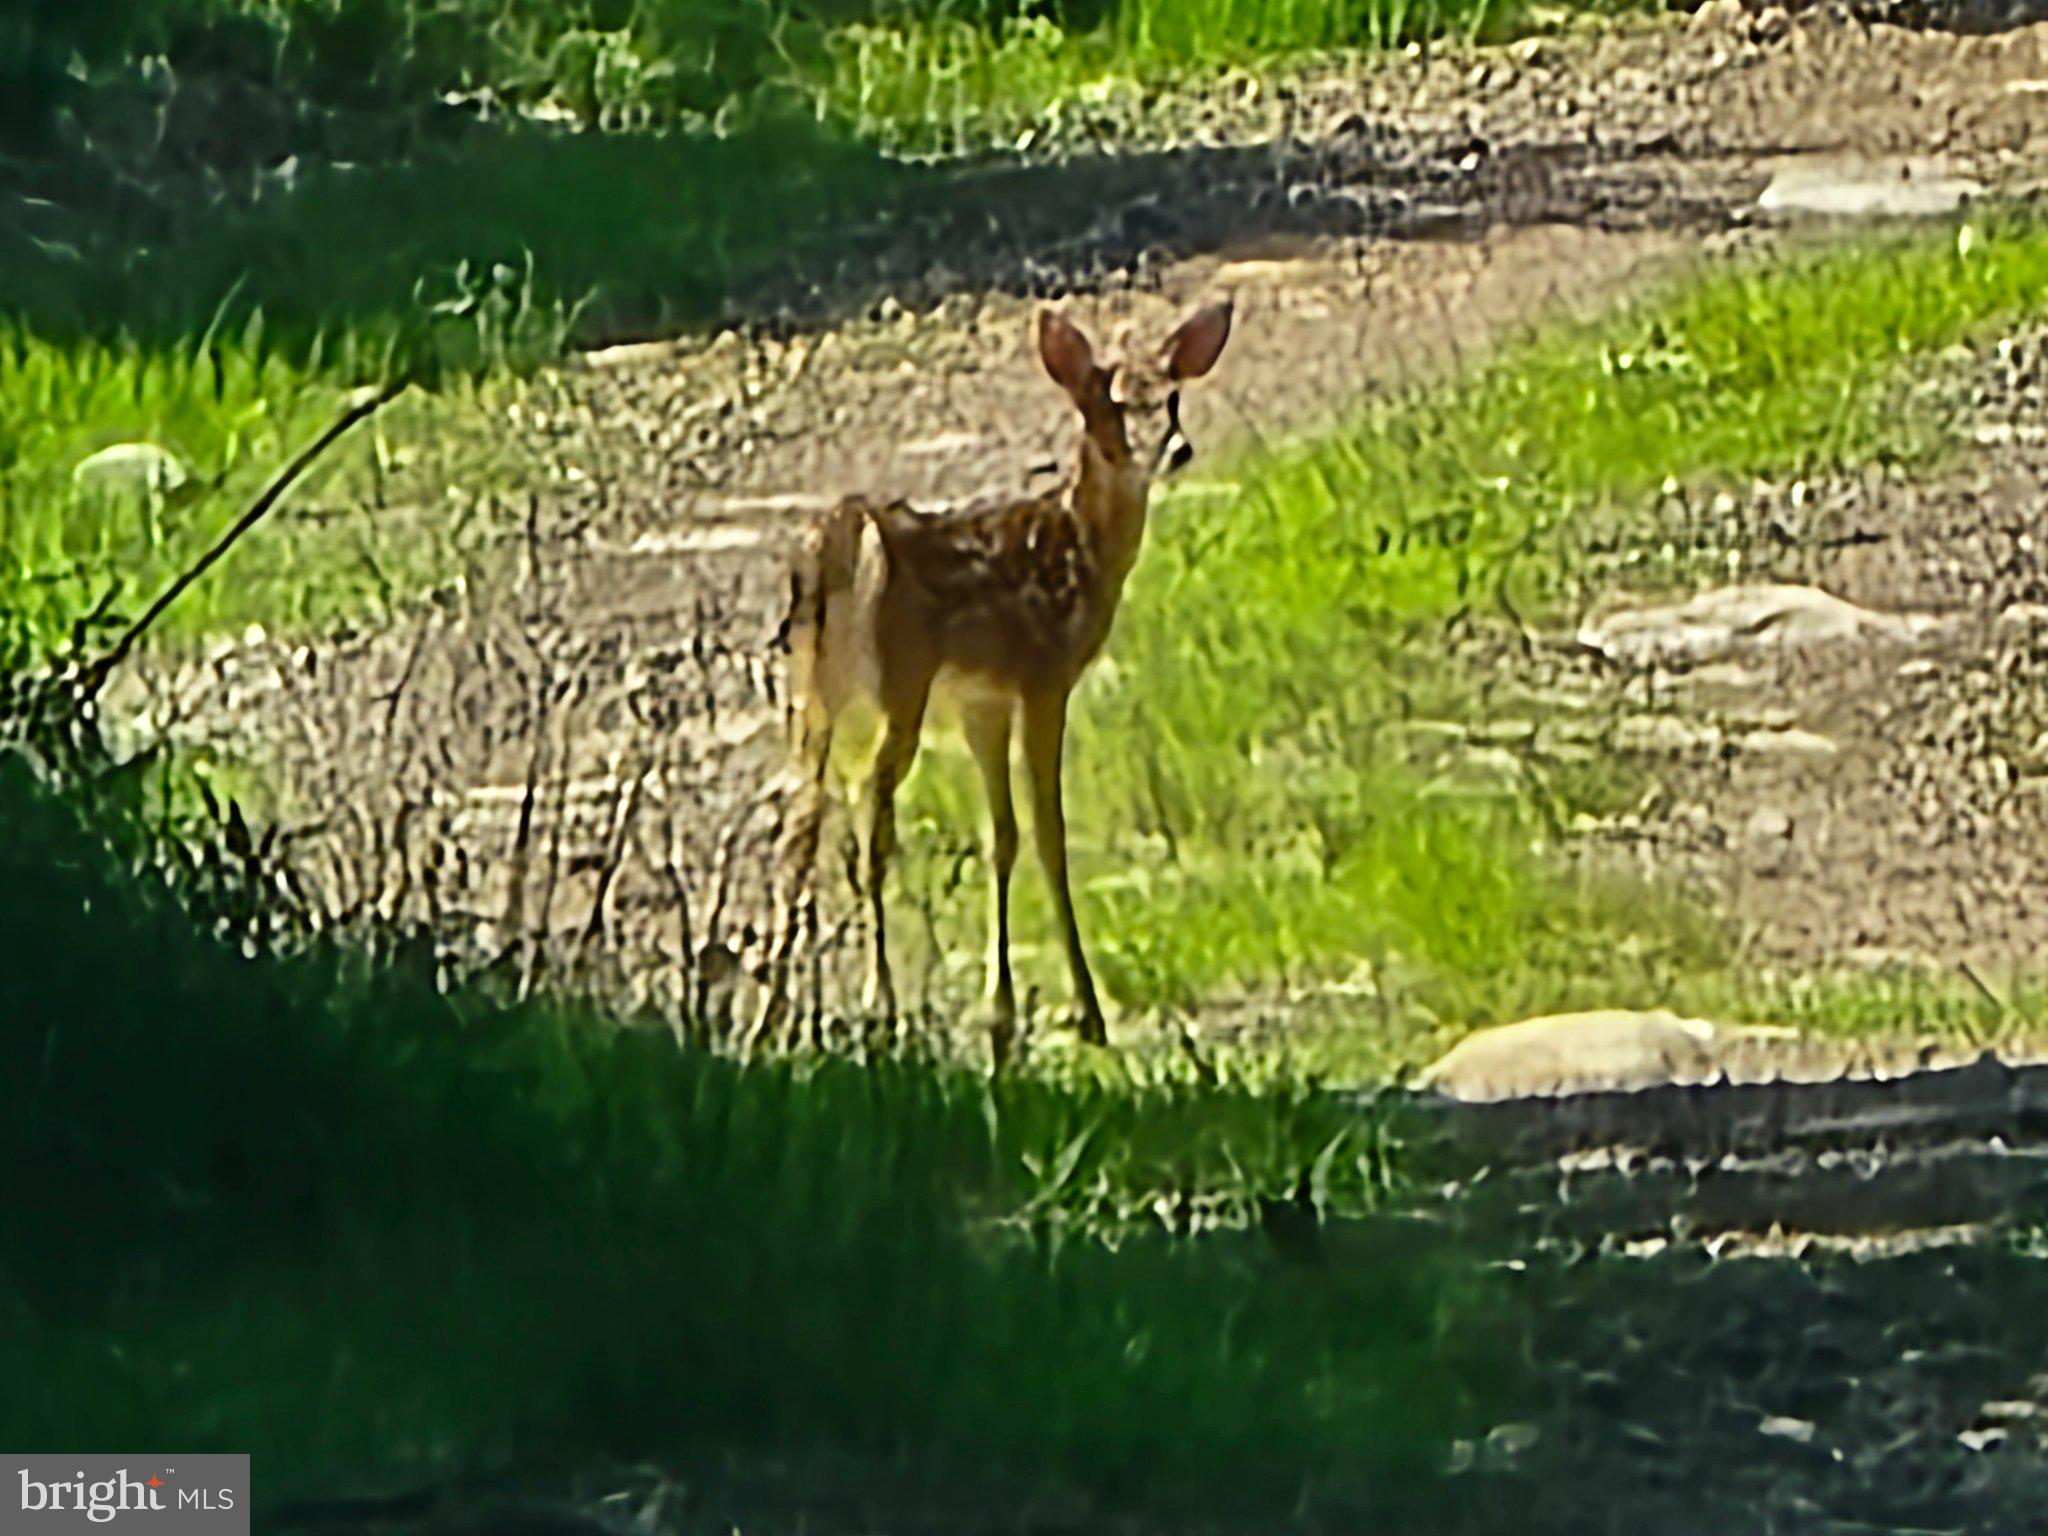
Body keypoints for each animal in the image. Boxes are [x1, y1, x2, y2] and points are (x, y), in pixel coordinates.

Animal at [751, 299, 1234, 1059]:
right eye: (1114, 403)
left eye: (1174, 395)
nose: (1178, 449)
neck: (1083, 550)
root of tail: (843, 537)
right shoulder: (1043, 679)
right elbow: (1048, 833)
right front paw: (1088, 1013)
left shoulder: (982, 698)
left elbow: (999, 834)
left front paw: (1001, 1015)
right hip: (900, 681)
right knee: (867, 806)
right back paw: (879, 1003)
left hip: (809, 689)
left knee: (800, 819)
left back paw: (769, 1015)